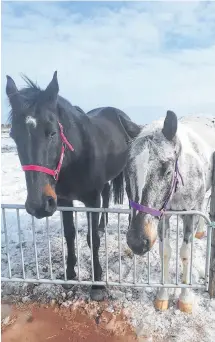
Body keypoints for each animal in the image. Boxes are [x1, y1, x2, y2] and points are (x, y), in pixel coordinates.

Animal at [5, 71, 141, 300]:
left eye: (52, 132)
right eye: (14, 135)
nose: (38, 205)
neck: (76, 156)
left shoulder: (91, 199)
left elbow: (93, 239)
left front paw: (97, 284)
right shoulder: (63, 200)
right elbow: (69, 234)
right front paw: (70, 275)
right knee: (107, 196)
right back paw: (103, 224)